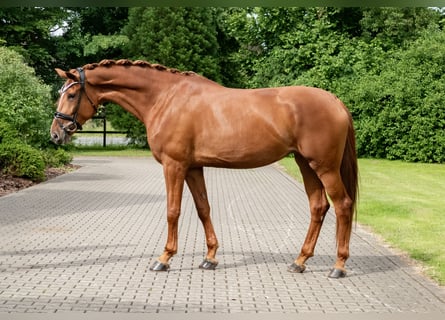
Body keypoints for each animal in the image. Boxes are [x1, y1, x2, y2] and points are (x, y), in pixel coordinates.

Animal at [51, 59, 358, 278]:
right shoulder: (193, 167)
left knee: (342, 204)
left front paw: (164, 259)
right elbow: (203, 209)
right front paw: (209, 258)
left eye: (73, 94)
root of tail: (335, 101)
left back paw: (338, 266)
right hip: (305, 164)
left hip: (324, 166)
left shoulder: (174, 166)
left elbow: (173, 211)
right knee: (318, 206)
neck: (165, 98)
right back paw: (300, 261)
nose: (56, 134)